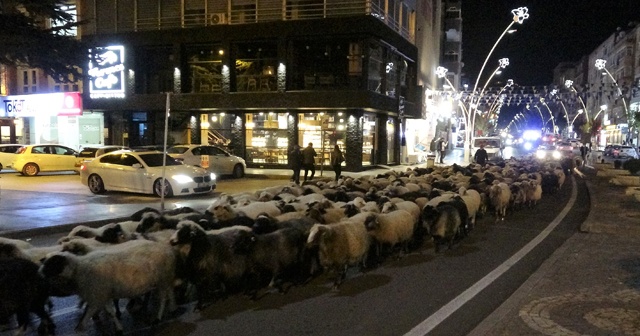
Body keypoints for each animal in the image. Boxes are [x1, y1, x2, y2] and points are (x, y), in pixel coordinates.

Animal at [40, 239, 176, 334]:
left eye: (53, 263)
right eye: (46, 261)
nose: (39, 272)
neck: (80, 269)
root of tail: (166, 249)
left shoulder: (96, 296)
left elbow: (87, 316)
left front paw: (80, 329)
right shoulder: (103, 295)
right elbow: (110, 313)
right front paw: (118, 328)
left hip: (163, 279)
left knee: (163, 298)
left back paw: (157, 318)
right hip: (163, 280)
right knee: (169, 293)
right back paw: (170, 308)